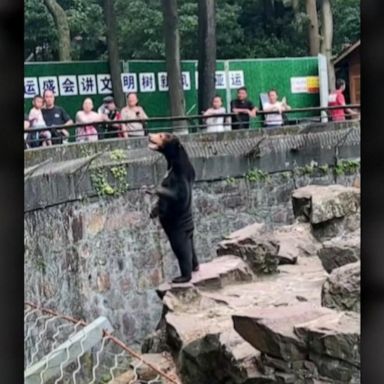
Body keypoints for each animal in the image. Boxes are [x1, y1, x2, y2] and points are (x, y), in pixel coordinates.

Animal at [148, 134, 200, 284]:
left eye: (161, 135)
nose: (149, 135)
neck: (172, 163)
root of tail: (189, 231)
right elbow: (159, 205)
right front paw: (152, 212)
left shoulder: (180, 177)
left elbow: (178, 196)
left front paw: (152, 189)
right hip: (188, 236)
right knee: (191, 248)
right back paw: (196, 267)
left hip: (178, 233)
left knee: (182, 251)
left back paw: (182, 277)